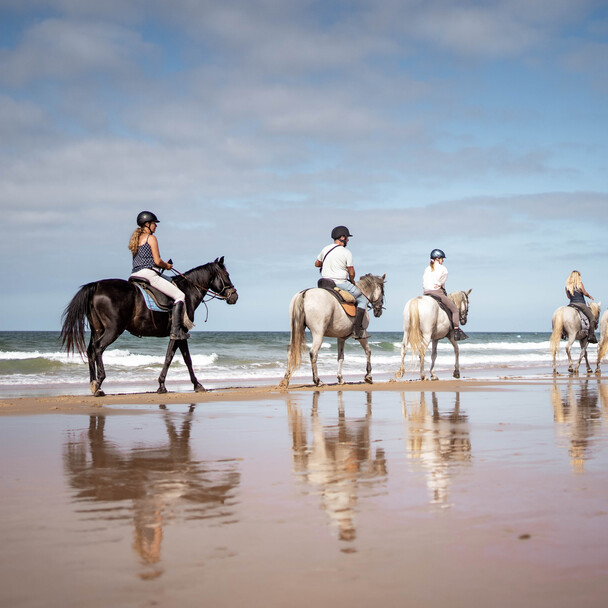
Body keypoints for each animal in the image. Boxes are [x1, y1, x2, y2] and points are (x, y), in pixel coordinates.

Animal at [60, 258, 238, 396]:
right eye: (226, 275)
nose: (234, 296)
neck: (186, 292)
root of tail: (97, 285)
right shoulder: (180, 333)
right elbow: (180, 359)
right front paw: (192, 385)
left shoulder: (177, 335)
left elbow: (175, 357)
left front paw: (165, 385)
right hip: (113, 329)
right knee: (98, 348)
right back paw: (99, 383)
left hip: (97, 329)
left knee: (90, 351)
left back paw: (94, 384)